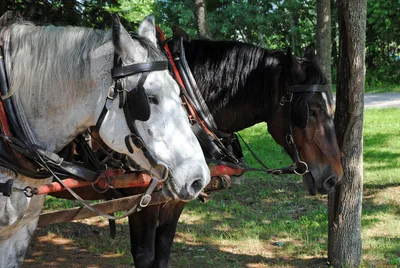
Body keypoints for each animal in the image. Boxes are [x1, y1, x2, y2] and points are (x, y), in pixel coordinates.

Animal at [115, 36, 340, 266]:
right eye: (311, 111)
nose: (334, 178)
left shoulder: (177, 197)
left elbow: (163, 247)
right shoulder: (143, 201)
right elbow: (144, 254)